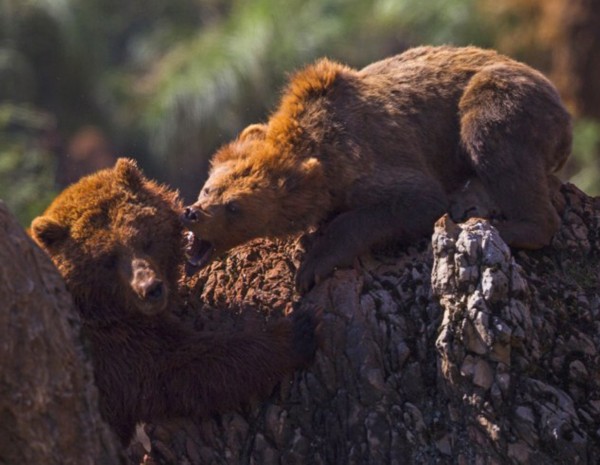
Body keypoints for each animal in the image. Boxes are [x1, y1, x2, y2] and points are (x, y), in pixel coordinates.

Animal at [29, 158, 318, 444]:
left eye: (144, 239)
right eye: (106, 260)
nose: (150, 288)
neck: (100, 307)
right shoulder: (113, 350)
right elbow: (181, 368)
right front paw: (295, 331)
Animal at [182, 43, 572, 290]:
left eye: (235, 207)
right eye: (208, 187)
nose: (193, 213)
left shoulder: (370, 158)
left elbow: (413, 202)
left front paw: (313, 266)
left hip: (504, 98)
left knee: (492, 138)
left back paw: (503, 225)